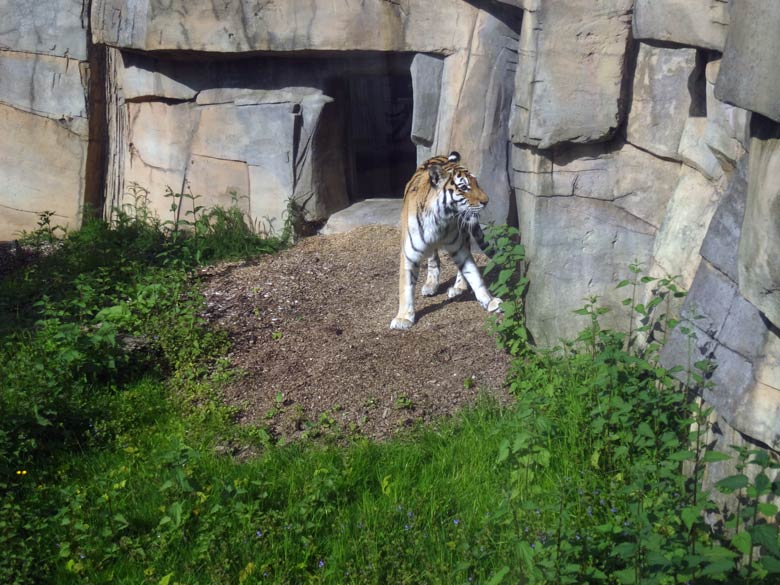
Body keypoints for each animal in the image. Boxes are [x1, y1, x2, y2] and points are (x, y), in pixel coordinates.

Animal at [388, 151, 500, 328]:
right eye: (464, 187)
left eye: (476, 183)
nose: (486, 201)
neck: (440, 220)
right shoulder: (409, 254)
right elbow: (405, 286)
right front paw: (404, 318)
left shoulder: (459, 248)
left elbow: (473, 273)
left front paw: (490, 301)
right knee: (433, 260)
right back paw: (430, 285)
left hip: (464, 234)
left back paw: (458, 287)